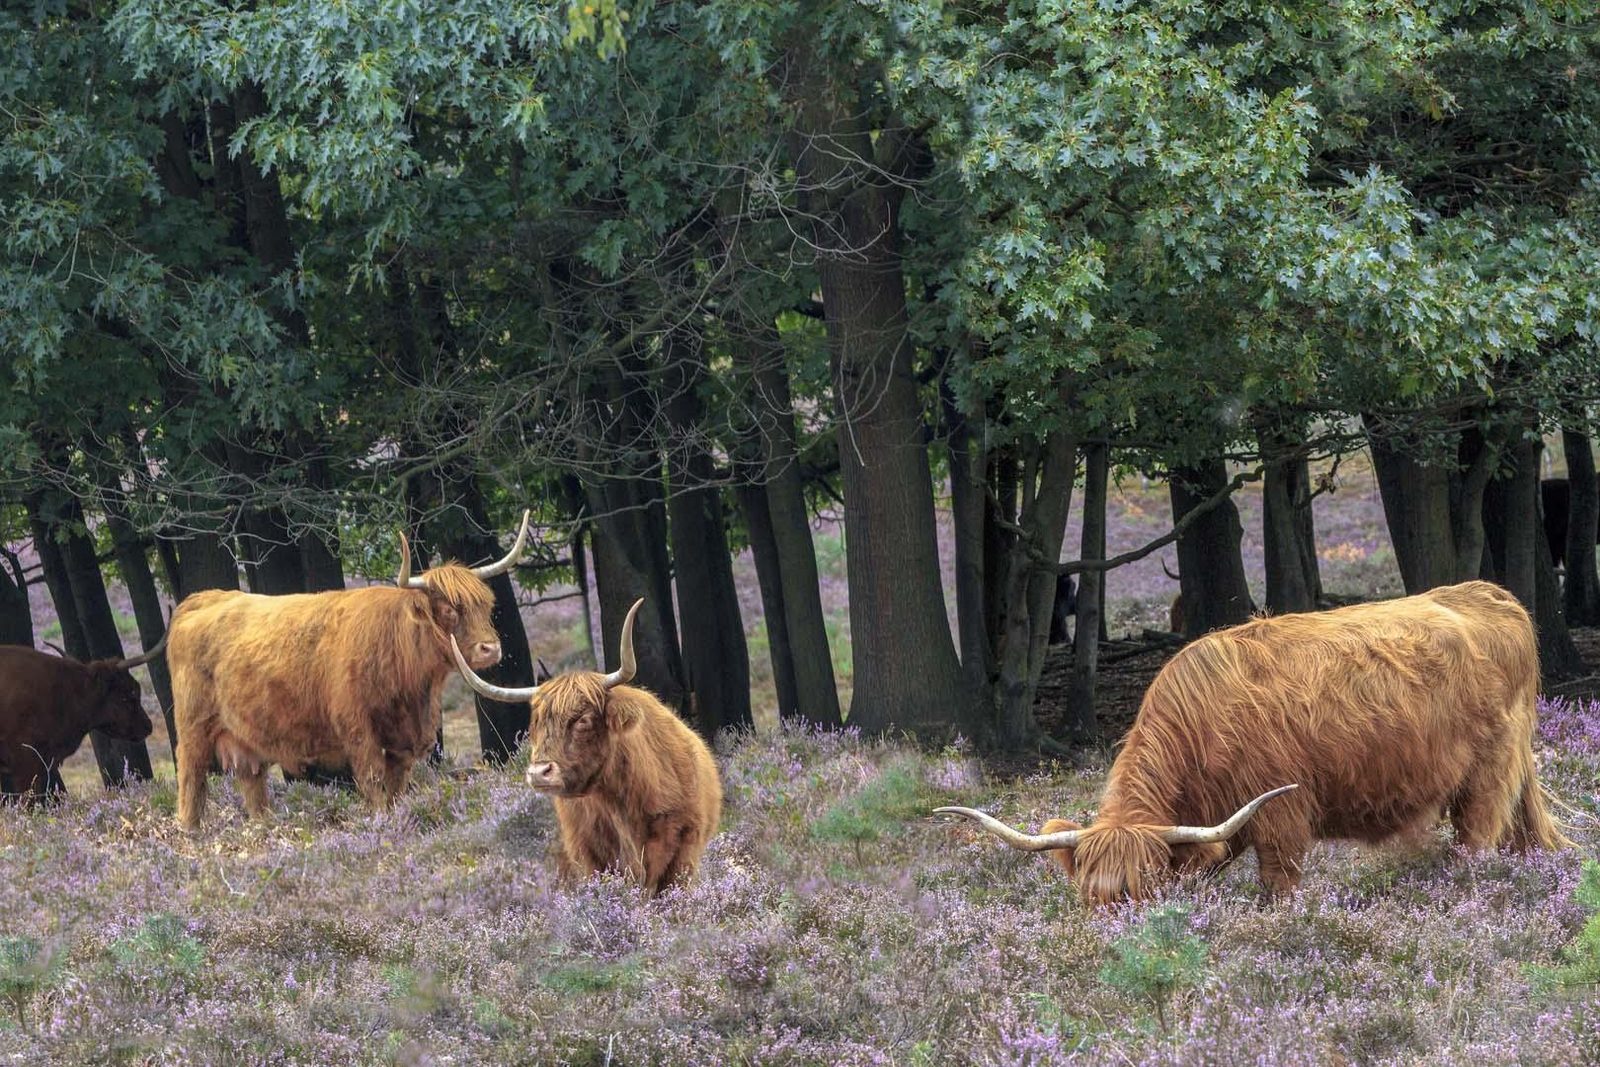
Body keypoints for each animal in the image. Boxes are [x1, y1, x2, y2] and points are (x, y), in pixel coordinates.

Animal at [169, 511, 531, 831]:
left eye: (486, 605)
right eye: (448, 610)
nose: (491, 649)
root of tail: (201, 599)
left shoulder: (401, 744)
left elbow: (395, 791)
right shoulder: (359, 732)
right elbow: (372, 785)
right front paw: (382, 825)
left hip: (244, 741)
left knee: (253, 787)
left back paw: (264, 828)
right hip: (193, 729)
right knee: (190, 779)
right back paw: (191, 834)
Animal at [940, 579, 1568, 908]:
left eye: (1142, 893)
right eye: (1089, 899)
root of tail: (1489, 594)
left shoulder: (1280, 820)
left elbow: (1278, 887)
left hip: (1484, 780)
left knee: (1476, 842)